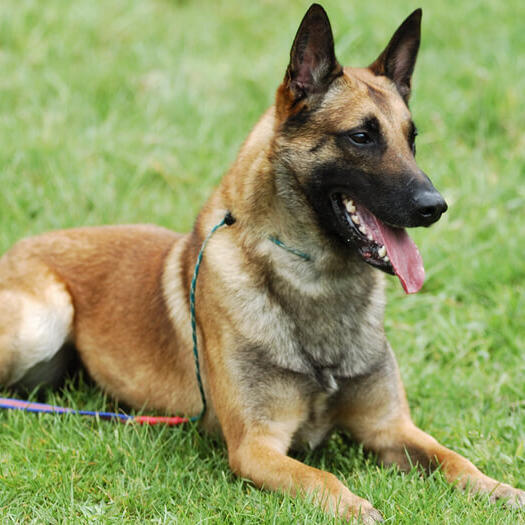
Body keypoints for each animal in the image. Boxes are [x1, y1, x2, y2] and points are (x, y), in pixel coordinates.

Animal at [0, 4, 520, 520]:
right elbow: (320, 477)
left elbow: (454, 459)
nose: (436, 206)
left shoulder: (391, 429)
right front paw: (355, 507)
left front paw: (498, 488)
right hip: (44, 321)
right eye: (361, 137)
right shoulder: (257, 446)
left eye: (411, 140)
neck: (318, 283)